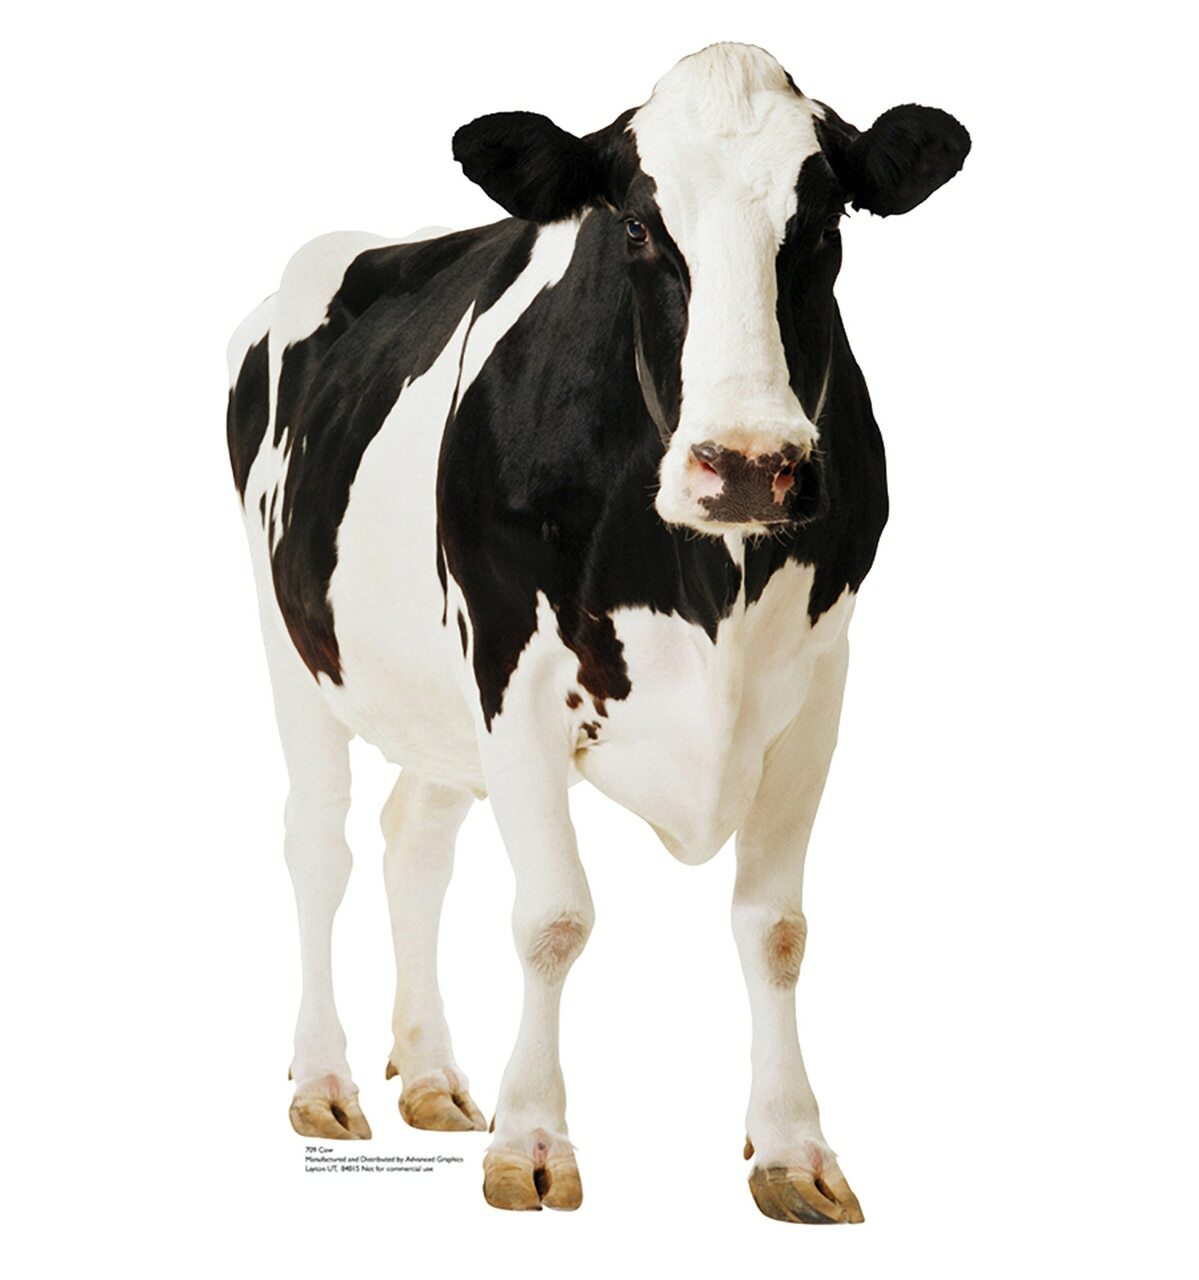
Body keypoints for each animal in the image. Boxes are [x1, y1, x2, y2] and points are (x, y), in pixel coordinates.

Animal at [226, 42, 969, 1222]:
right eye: (633, 226)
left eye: (823, 223)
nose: (748, 463)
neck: (705, 576)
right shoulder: (512, 670)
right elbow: (552, 917)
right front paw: (530, 1141)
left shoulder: (817, 684)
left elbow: (776, 927)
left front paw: (792, 1148)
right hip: (290, 636)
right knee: (317, 843)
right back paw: (324, 1081)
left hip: (435, 696)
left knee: (413, 841)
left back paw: (429, 1074)